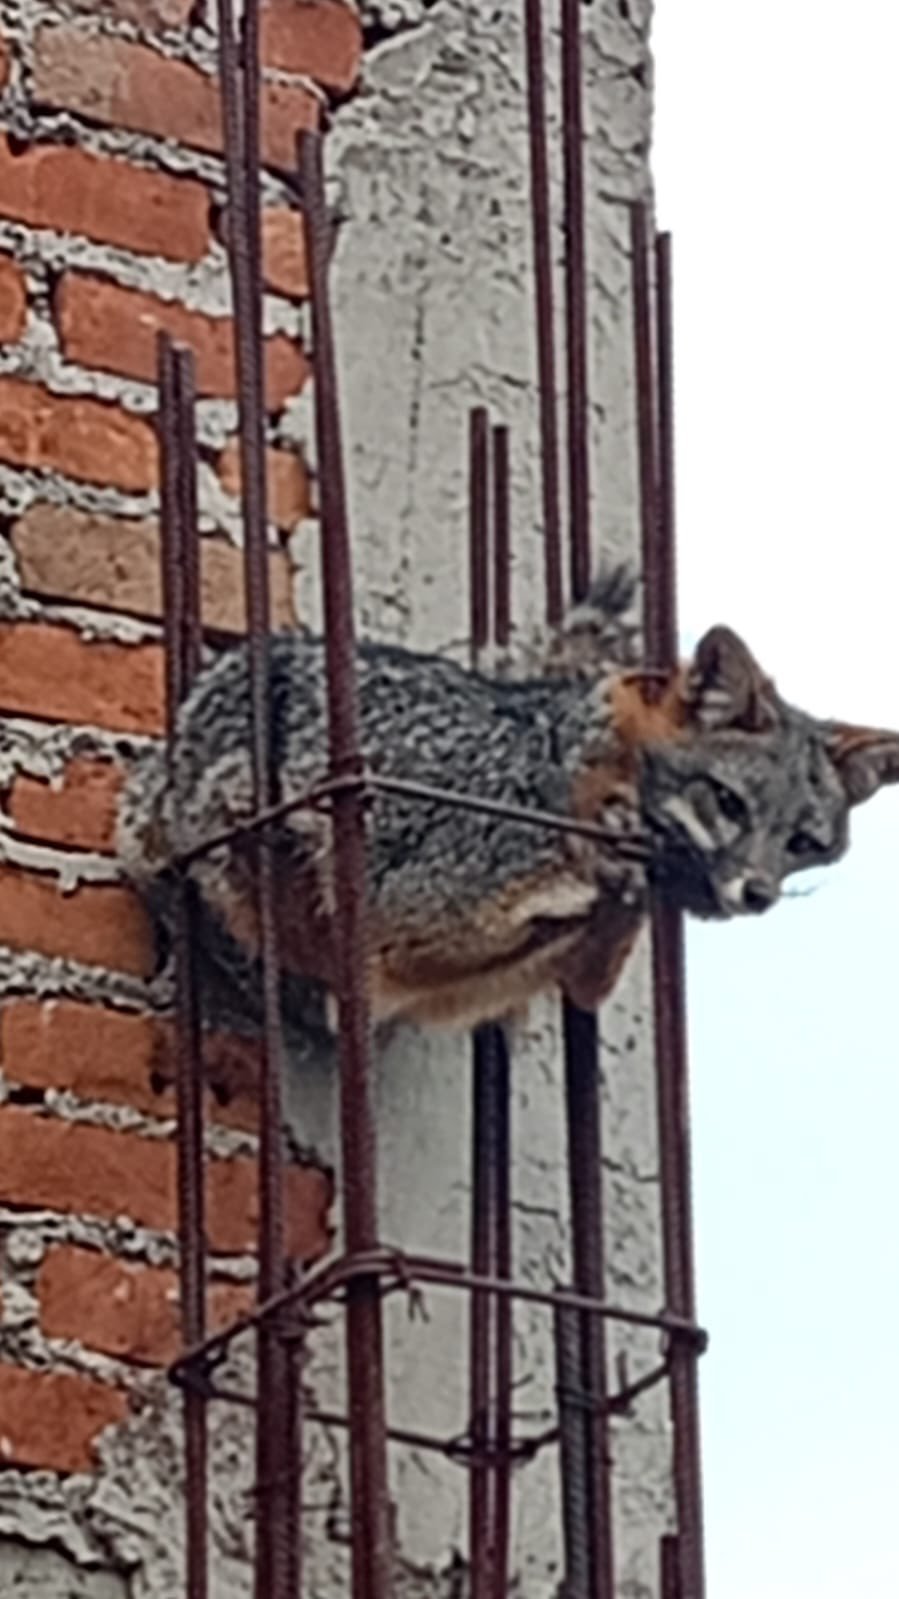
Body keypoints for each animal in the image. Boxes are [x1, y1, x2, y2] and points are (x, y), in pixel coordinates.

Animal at [115, 594, 895, 1029]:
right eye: (727, 802)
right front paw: (607, 861)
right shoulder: (410, 916)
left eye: (802, 842)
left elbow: (588, 958)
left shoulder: (574, 974)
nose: (757, 893)